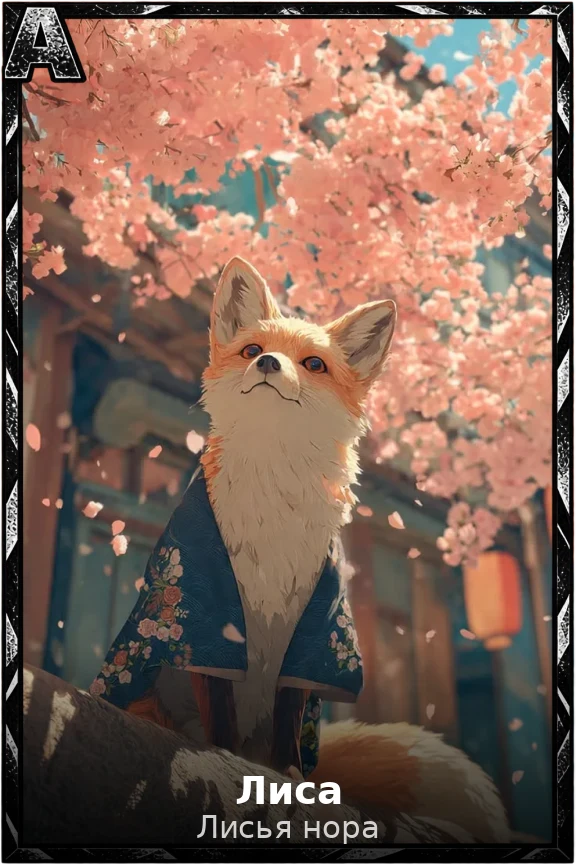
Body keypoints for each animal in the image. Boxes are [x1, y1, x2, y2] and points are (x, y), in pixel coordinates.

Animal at [94, 257, 510, 842]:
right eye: (252, 349)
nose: (268, 363)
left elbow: (291, 712)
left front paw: (287, 777)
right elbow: (218, 705)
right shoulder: (201, 614)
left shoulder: (316, 627)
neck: (273, 512)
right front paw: (226, 757)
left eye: (313, 363)